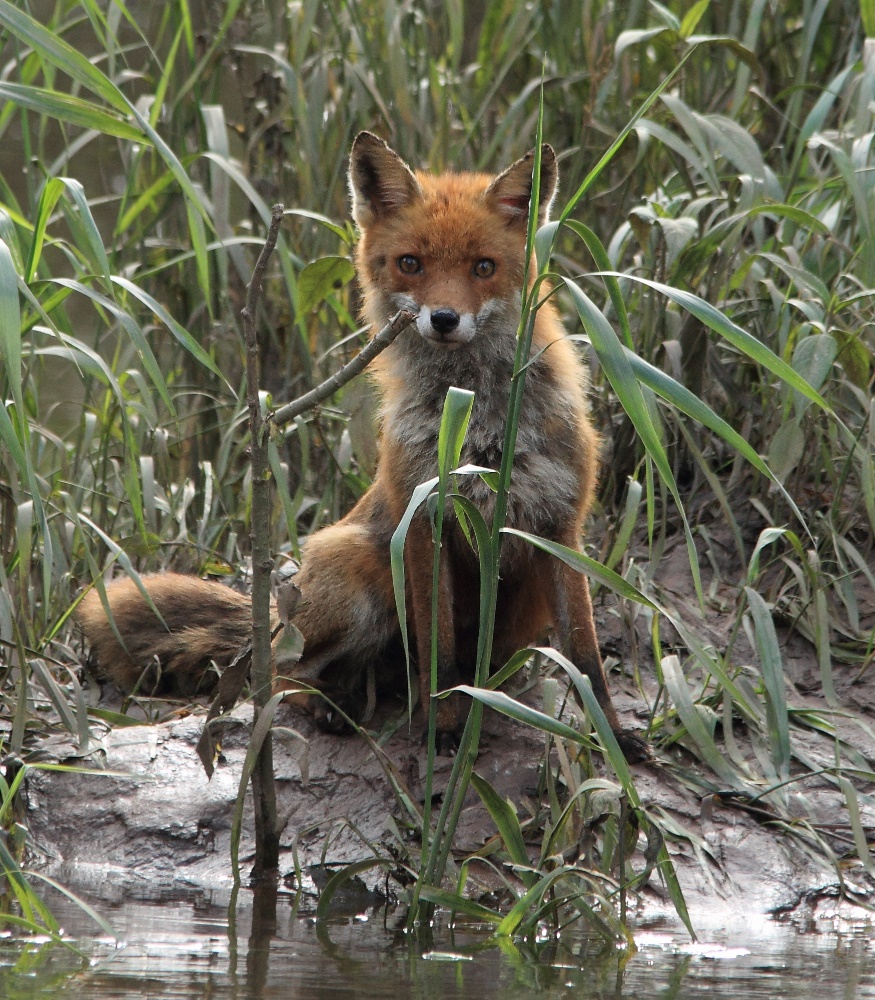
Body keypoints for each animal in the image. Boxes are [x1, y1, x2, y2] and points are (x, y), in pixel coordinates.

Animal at [75, 131, 648, 756]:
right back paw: (329, 707)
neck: (479, 424)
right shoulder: (424, 522)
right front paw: (446, 730)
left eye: (484, 267)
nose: (443, 318)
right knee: (277, 676)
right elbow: (440, 653)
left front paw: (613, 737)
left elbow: (586, 658)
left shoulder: (560, 527)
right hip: (361, 582)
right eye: (410, 264)